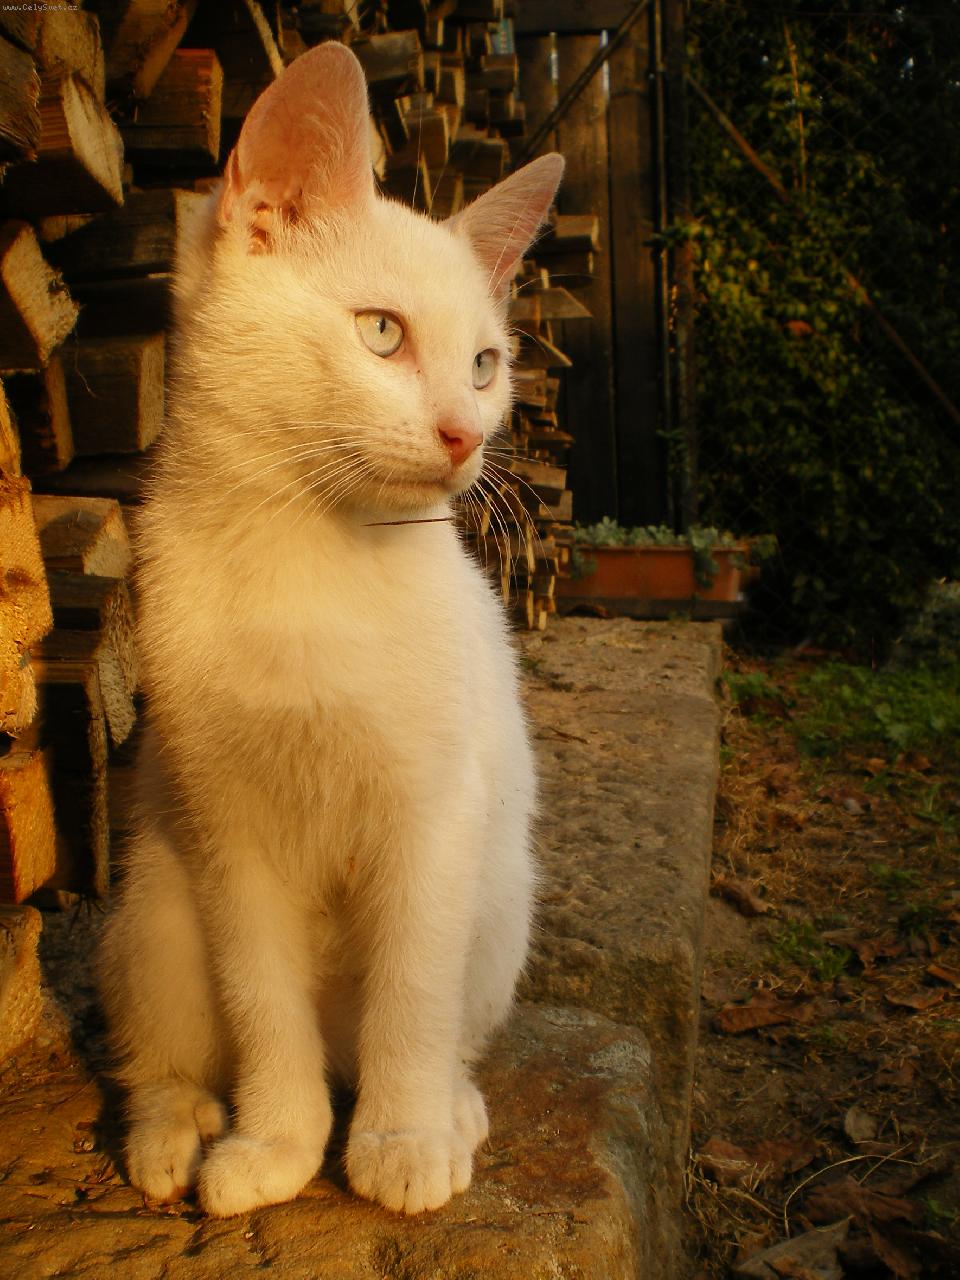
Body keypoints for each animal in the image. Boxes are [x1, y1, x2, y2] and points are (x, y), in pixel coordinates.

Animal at [98, 41, 563, 1219]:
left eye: (486, 364)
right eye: (382, 332)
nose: (463, 434)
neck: (305, 555)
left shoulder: (435, 813)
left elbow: (411, 988)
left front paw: (401, 1136)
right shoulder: (225, 829)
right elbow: (262, 998)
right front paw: (277, 1139)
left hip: (503, 896)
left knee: (432, 1017)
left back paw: (451, 1101)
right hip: (150, 909)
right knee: (167, 1047)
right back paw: (171, 1128)